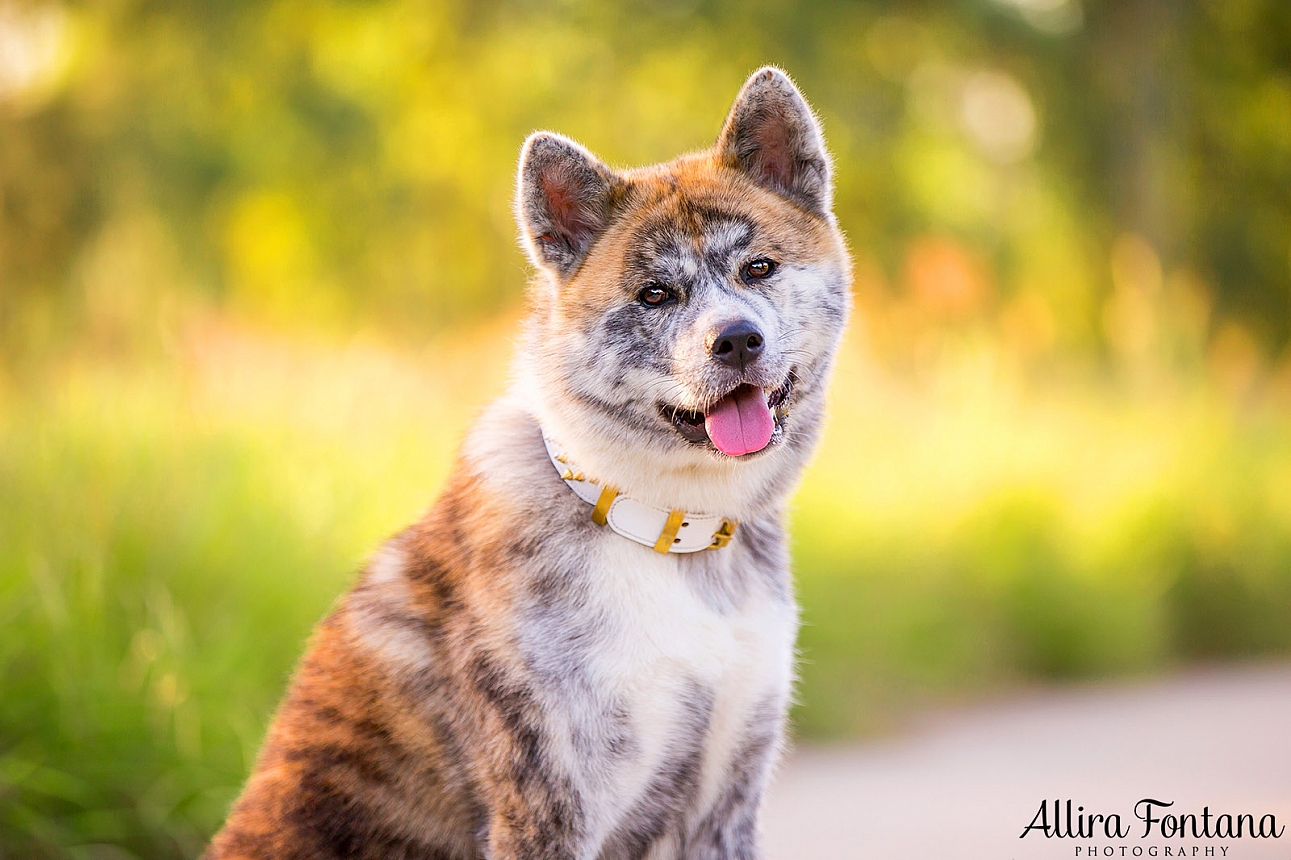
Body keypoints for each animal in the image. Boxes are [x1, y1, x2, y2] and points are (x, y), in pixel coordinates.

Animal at [203, 63, 846, 852]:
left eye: (758, 267)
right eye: (654, 293)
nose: (736, 341)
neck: (665, 530)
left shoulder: (724, 802)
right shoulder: (548, 803)